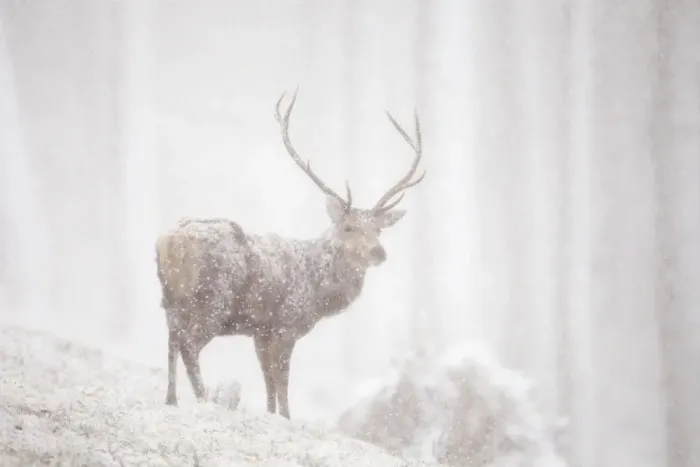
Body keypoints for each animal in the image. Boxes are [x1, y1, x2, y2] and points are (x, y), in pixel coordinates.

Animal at [154, 90, 425, 419]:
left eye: (379, 230)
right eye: (348, 227)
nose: (379, 252)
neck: (318, 291)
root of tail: (169, 241)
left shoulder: (261, 330)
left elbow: (268, 381)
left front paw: (272, 414)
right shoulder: (286, 323)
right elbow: (281, 379)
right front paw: (286, 416)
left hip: (171, 300)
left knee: (171, 340)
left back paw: (171, 398)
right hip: (210, 302)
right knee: (188, 345)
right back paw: (203, 398)